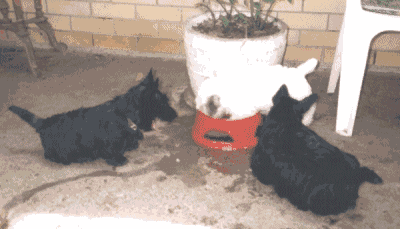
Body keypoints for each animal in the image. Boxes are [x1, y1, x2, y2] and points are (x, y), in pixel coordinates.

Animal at [8, 68, 177, 166]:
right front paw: (119, 159)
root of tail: (43, 123)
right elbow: (113, 153)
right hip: (58, 152)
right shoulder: (108, 145)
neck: (124, 114)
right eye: (163, 103)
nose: (175, 115)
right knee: (49, 156)